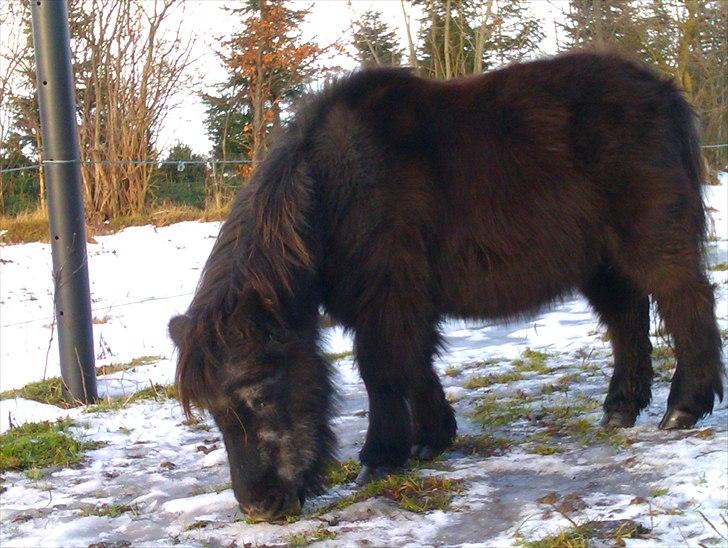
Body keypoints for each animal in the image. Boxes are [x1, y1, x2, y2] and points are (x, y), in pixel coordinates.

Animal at [169, 51, 724, 522]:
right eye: (213, 411)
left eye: (259, 396)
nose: (259, 507)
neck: (334, 189)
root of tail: (663, 92)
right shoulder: (401, 305)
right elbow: (415, 367)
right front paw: (432, 439)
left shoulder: (386, 301)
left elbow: (383, 372)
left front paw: (380, 457)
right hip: (600, 263)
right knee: (626, 321)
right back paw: (619, 410)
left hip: (653, 243)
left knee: (687, 304)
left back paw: (682, 409)